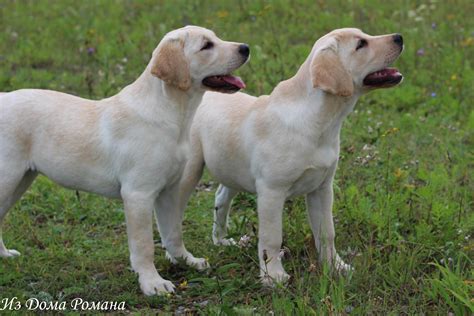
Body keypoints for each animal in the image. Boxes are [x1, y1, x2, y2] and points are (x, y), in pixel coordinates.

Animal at [0, 25, 250, 296]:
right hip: (8, 179)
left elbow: (173, 232)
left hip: (20, 181)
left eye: (215, 38)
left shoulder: (169, 191)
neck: (173, 114)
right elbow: (144, 245)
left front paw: (186, 261)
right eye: (206, 46)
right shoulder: (138, 194)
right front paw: (152, 283)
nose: (246, 48)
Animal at [178, 28, 404, 286]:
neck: (320, 120)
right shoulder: (272, 192)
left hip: (232, 168)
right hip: (191, 170)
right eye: (361, 44)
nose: (399, 37)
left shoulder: (322, 188)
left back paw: (221, 240)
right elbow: (272, 238)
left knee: (220, 198)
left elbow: (327, 233)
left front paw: (336, 267)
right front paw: (273, 276)